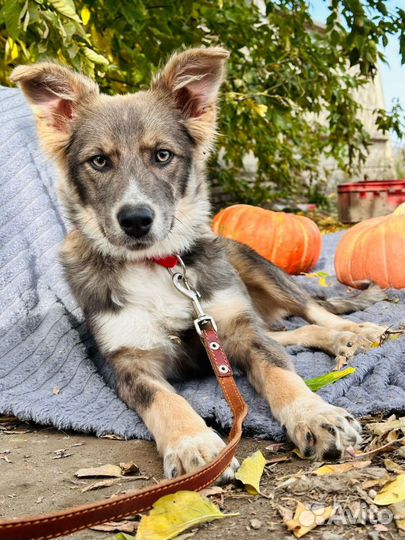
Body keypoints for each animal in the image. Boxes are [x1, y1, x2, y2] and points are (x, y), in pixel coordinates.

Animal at [11, 48, 386, 480]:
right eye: (100, 161)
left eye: (162, 155)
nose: (136, 220)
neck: (156, 265)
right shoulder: (131, 363)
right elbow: (167, 401)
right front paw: (195, 444)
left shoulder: (237, 328)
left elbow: (281, 372)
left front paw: (314, 414)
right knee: (287, 334)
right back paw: (340, 339)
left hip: (255, 267)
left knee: (311, 312)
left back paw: (354, 331)